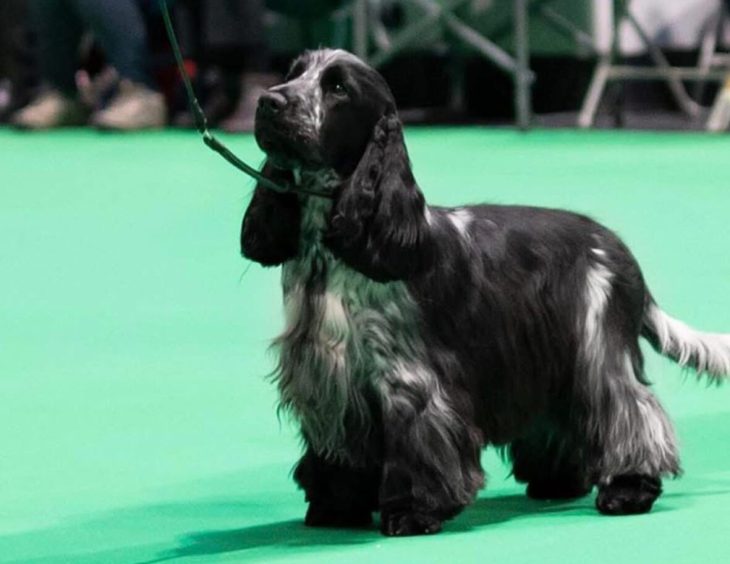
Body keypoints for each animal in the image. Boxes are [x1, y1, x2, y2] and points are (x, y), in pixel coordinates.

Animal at [240, 49, 728, 536]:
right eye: (293, 74)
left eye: (338, 88)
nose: (268, 101)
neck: (334, 250)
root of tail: (616, 246)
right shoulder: (327, 376)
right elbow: (337, 451)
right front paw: (335, 507)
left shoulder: (408, 379)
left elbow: (419, 446)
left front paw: (412, 511)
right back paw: (556, 481)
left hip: (596, 351)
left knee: (631, 413)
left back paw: (628, 489)